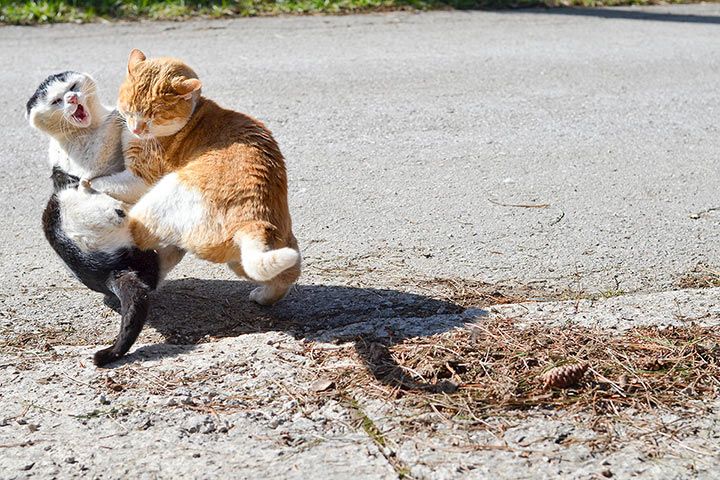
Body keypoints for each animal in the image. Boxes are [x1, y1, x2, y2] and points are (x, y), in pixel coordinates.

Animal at [28, 71, 180, 366]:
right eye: (56, 101)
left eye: (72, 87)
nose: (72, 99)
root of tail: (110, 271)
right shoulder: (88, 165)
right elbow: (104, 158)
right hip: (61, 208)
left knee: (157, 268)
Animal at [89, 48, 298, 304]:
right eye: (129, 107)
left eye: (153, 115)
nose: (136, 128)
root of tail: (253, 220)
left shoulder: (141, 178)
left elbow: (108, 181)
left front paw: (89, 180)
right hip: (253, 257)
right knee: (285, 275)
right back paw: (263, 296)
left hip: (161, 195)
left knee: (136, 232)